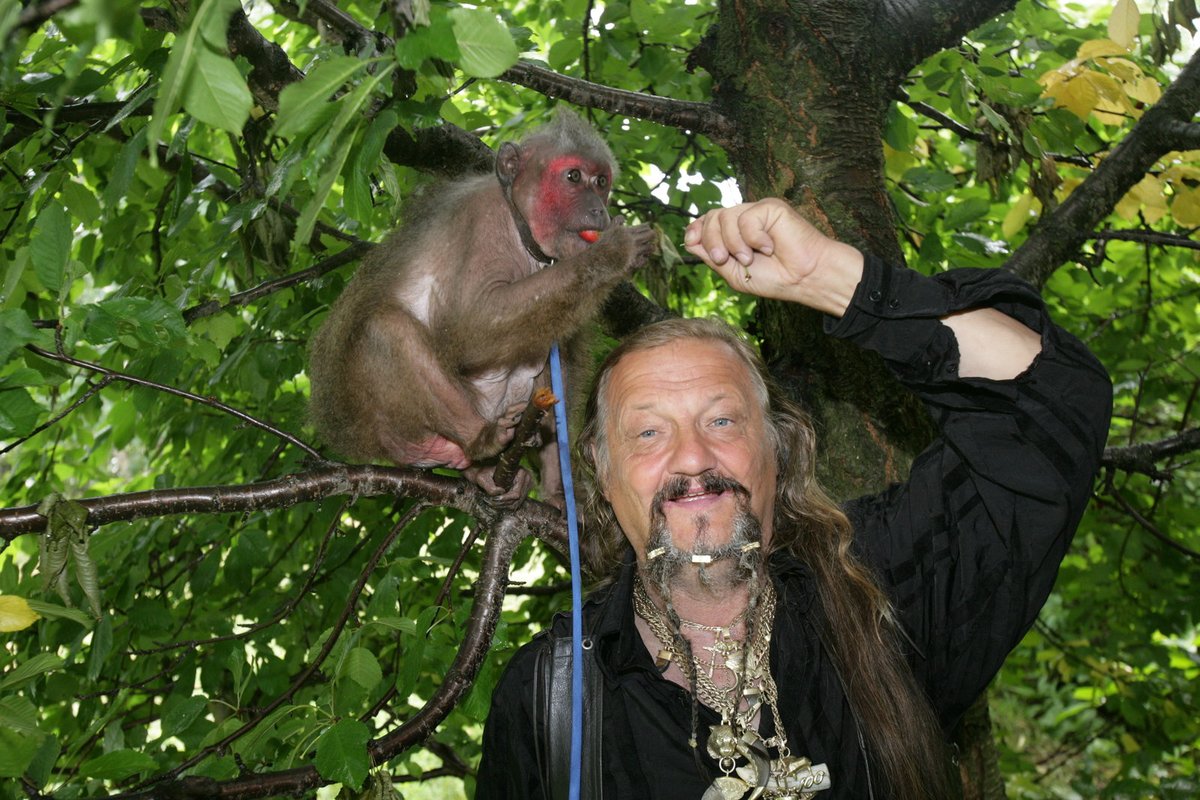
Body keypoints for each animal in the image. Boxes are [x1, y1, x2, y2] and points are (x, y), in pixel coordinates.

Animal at [304, 109, 652, 503]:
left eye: (601, 182)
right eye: (574, 177)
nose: (598, 209)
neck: (523, 230)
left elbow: (561, 349)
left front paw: (557, 486)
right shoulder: (483, 217)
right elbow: (471, 325)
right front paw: (613, 252)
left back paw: (488, 470)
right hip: (376, 418)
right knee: (385, 329)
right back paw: (479, 441)